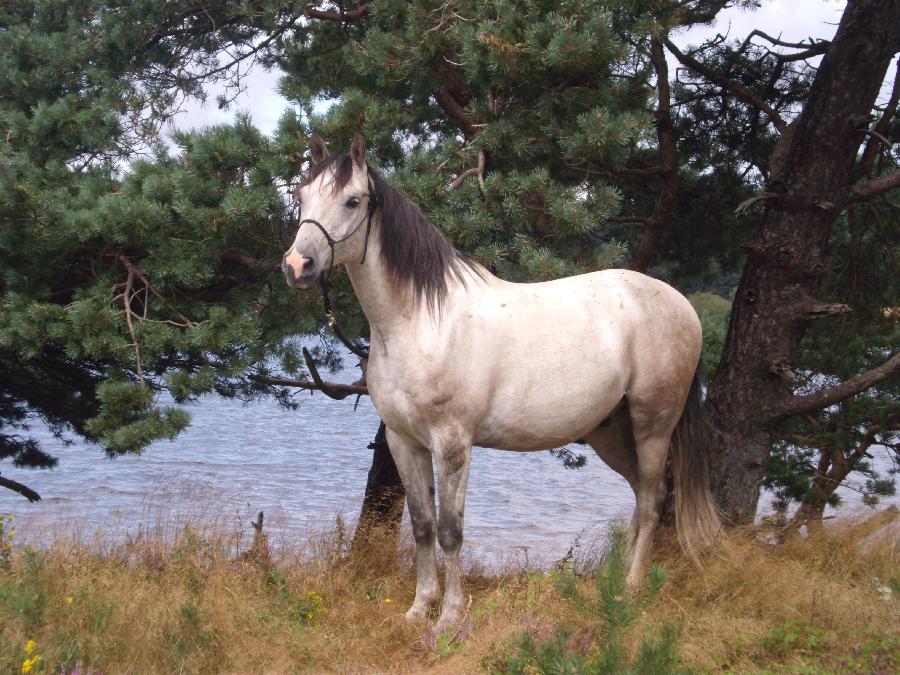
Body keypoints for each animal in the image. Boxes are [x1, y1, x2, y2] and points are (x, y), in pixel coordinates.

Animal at [284, 135, 720, 632]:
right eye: (301, 196)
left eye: (352, 200)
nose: (297, 266)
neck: (422, 321)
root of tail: (683, 305)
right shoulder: (402, 441)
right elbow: (422, 527)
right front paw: (418, 609)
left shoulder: (452, 443)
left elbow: (451, 531)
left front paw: (449, 618)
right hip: (611, 433)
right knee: (640, 496)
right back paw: (615, 579)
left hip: (653, 426)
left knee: (653, 500)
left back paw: (629, 588)